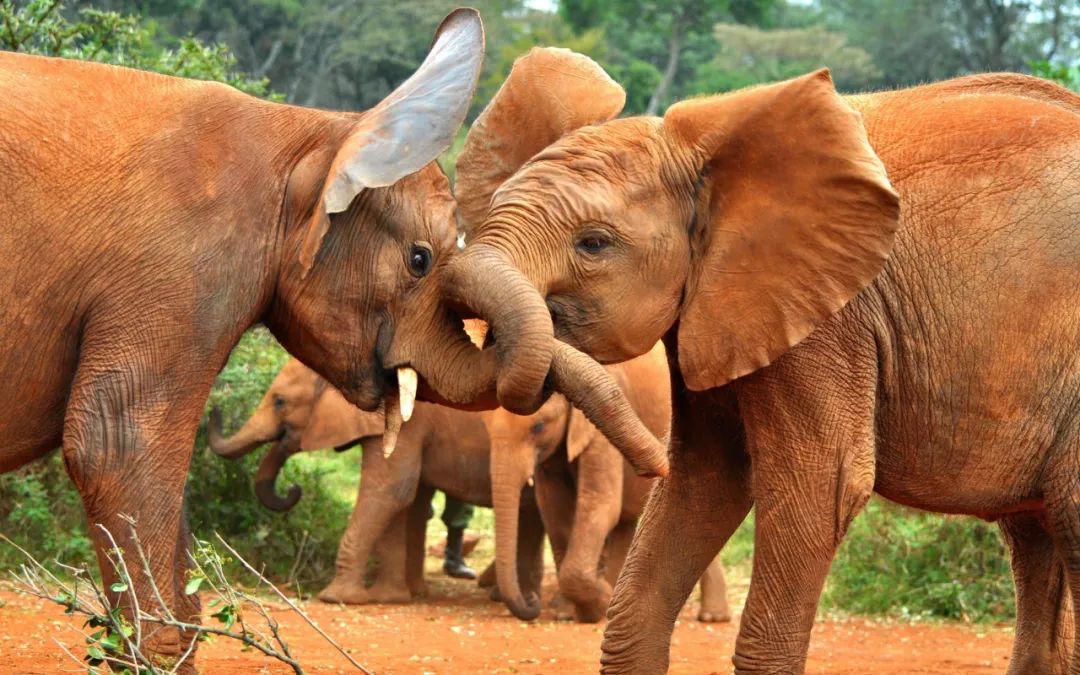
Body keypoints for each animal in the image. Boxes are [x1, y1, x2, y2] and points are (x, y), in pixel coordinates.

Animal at [208, 358, 548, 604]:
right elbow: (406, 499)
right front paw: (396, 597)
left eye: (279, 401)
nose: (294, 489)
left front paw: (338, 598)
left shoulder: (408, 421)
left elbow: (391, 488)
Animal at [479, 341, 725, 622]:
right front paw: (567, 612)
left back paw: (712, 617)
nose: (531, 600)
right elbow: (554, 509)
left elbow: (599, 503)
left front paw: (596, 605)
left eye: (538, 427)